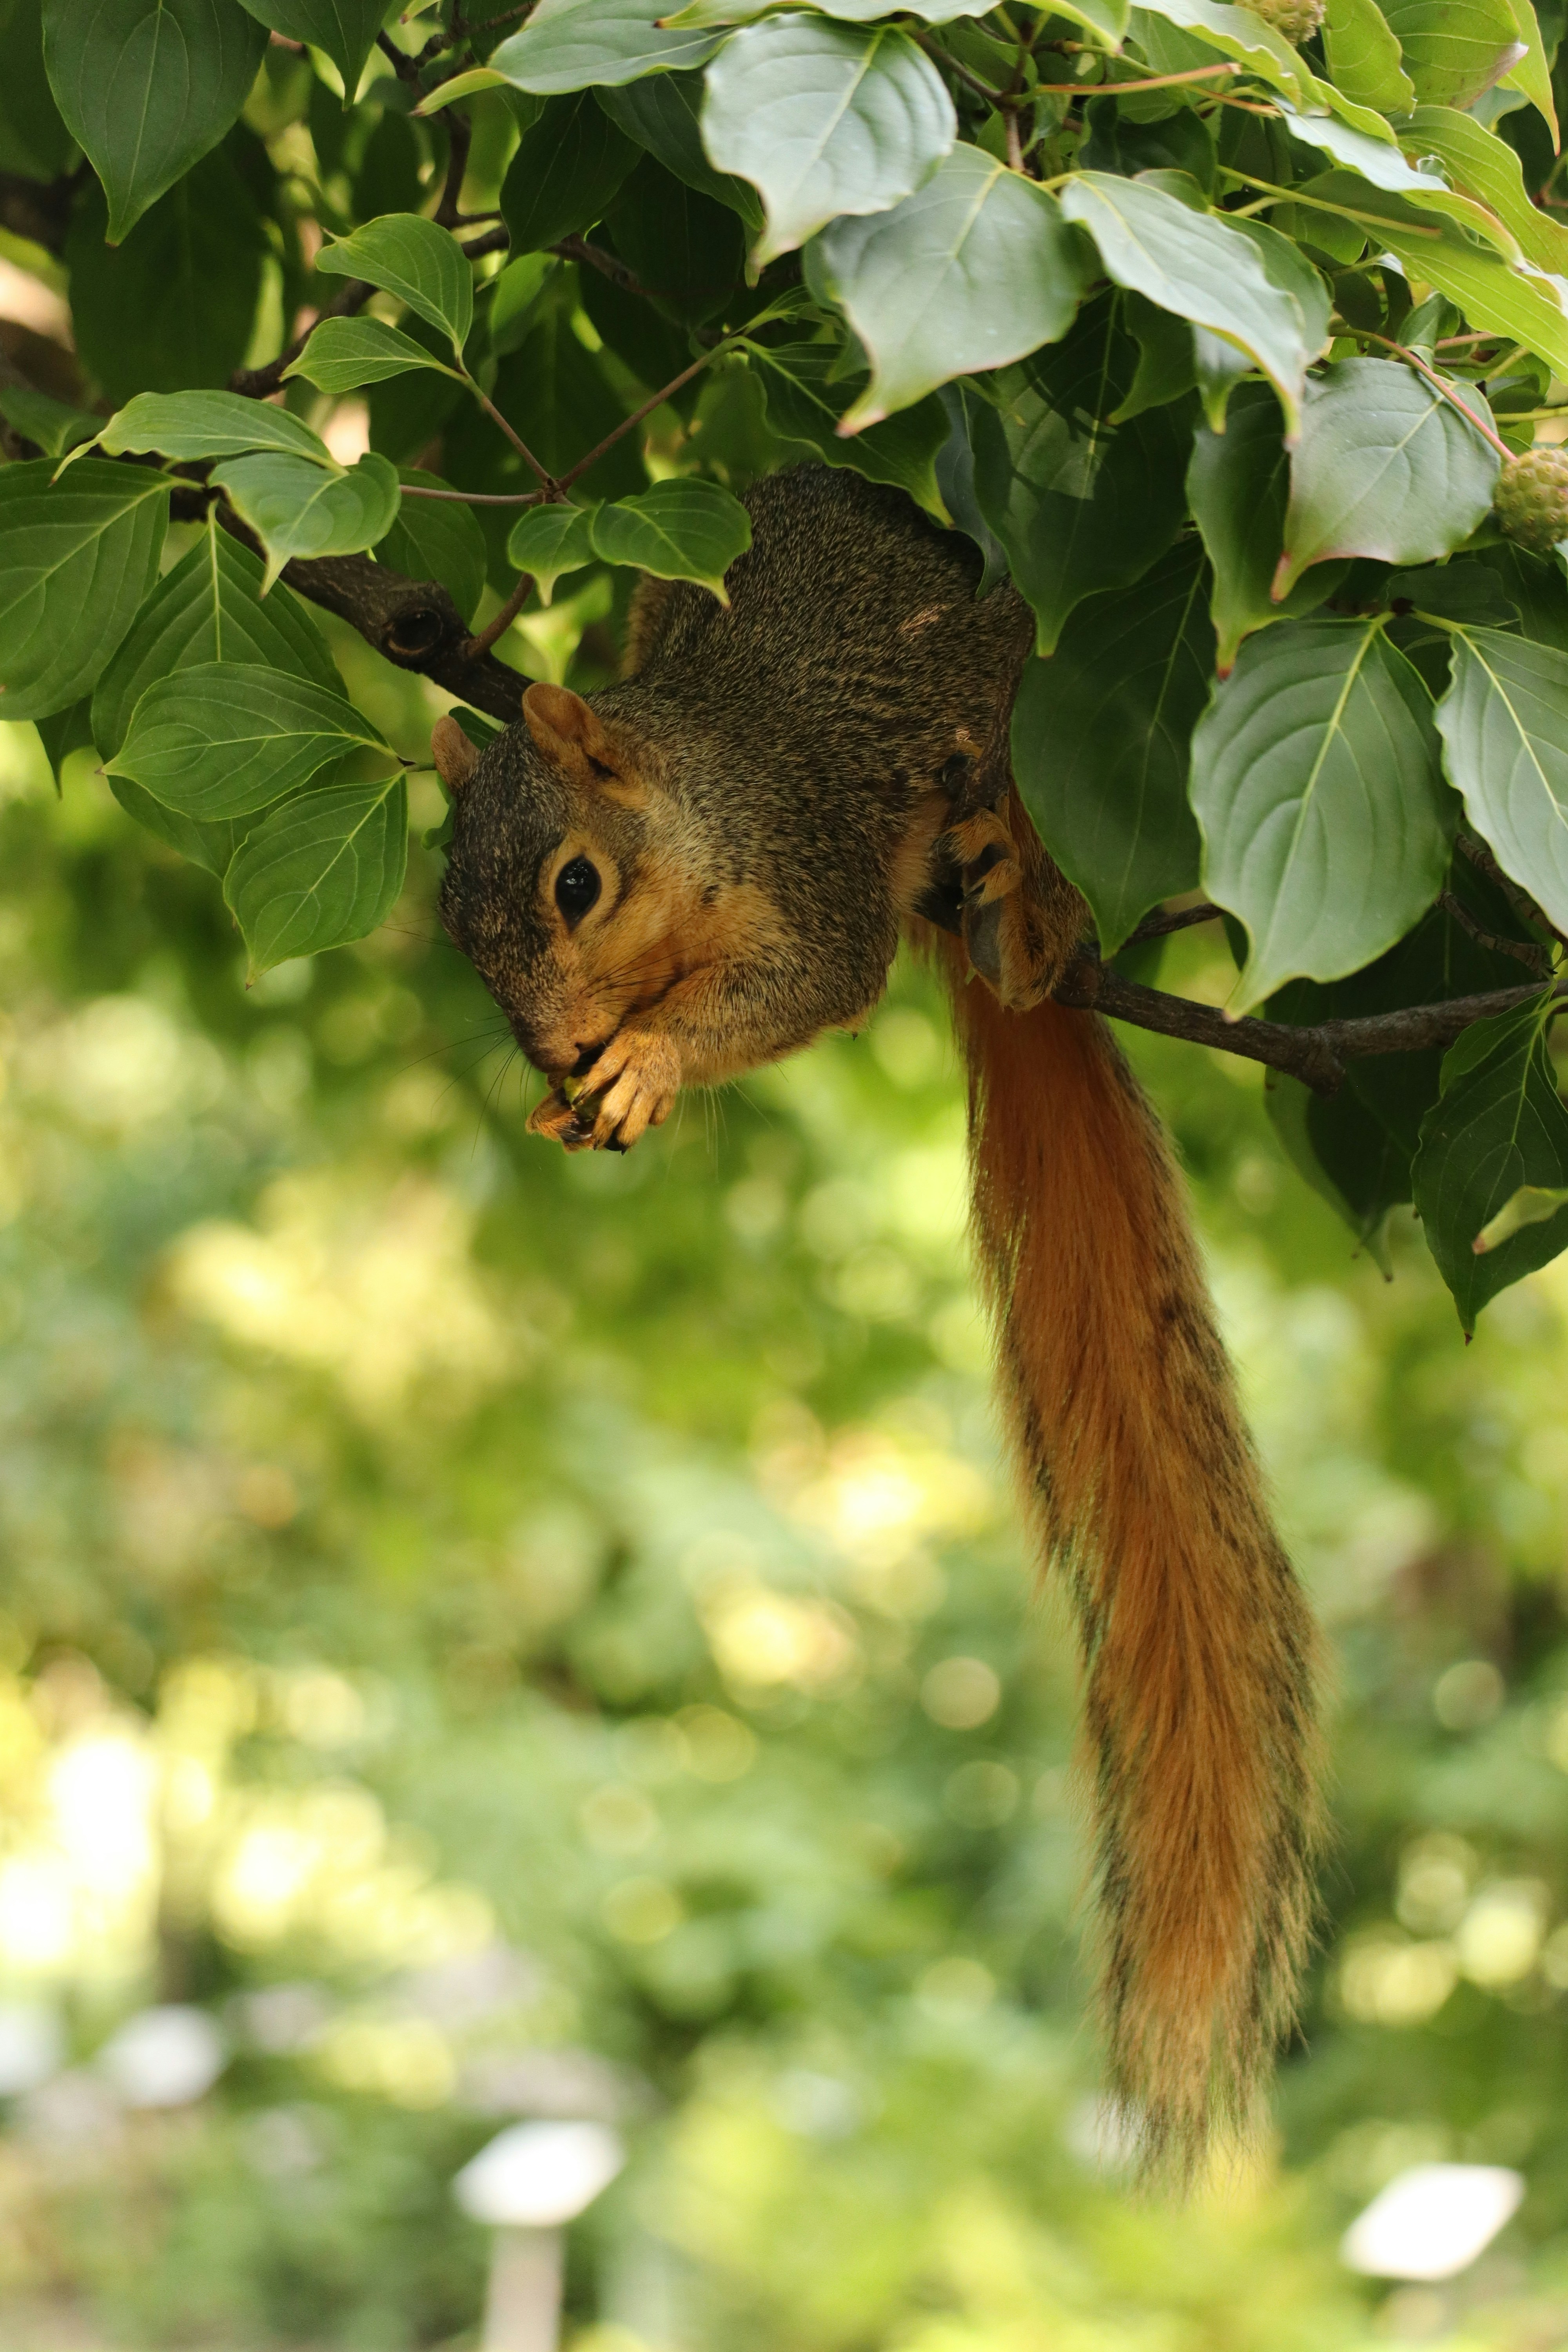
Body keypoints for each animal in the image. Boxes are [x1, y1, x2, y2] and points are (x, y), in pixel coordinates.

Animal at [434, 463, 1322, 2177]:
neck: (695, 798)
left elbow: (804, 989)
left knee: (1027, 860)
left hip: (1028, 738)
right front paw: (572, 1092)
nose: (557, 1043)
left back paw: (1025, 914)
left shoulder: (811, 882)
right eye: (451, 921)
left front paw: (651, 1063)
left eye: (576, 883)